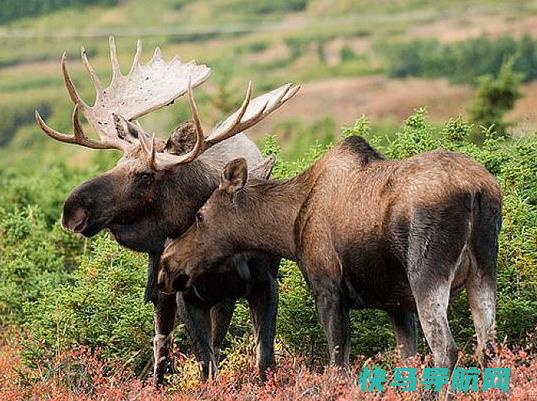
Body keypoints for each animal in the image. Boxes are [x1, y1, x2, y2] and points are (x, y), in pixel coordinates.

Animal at [35, 38, 300, 384]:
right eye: (116, 163)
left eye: (145, 175)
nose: (72, 210)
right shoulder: (186, 296)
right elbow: (205, 364)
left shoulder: (264, 285)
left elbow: (263, 360)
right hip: (164, 286)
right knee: (162, 342)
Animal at [159, 135, 502, 372]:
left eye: (200, 216)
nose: (168, 263)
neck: (288, 231)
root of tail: (477, 191)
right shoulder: (396, 302)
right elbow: (407, 360)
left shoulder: (327, 287)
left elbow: (338, 365)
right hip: (484, 269)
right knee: (488, 346)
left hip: (426, 272)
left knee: (447, 349)